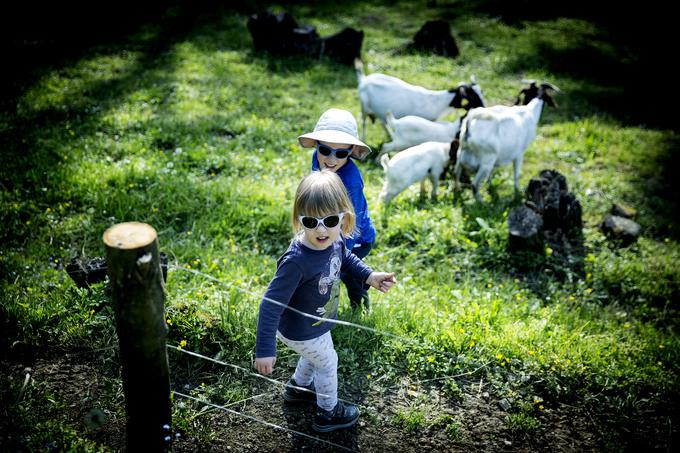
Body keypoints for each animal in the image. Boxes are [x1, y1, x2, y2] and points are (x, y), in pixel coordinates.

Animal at [354, 59, 486, 139]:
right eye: (472, 96)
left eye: (482, 92)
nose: (484, 108)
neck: (437, 102)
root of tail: (364, 79)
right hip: (364, 107)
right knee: (364, 123)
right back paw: (363, 139)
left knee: (382, 122)